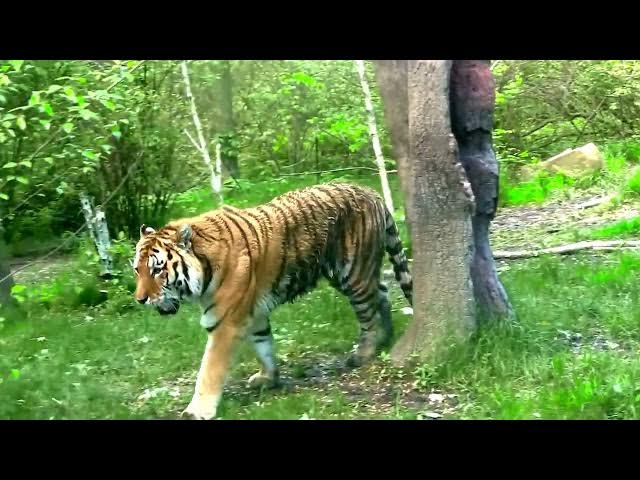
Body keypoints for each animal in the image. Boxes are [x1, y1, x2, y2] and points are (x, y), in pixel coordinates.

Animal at [132, 182, 412, 420]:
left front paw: (197, 411)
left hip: (353, 273)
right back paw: (386, 337)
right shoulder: (254, 313)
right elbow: (263, 345)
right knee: (383, 292)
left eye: (157, 269)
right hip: (352, 273)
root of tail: (370, 192)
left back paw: (364, 353)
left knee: (369, 313)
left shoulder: (224, 324)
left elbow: (209, 370)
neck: (204, 269)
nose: (140, 300)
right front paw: (268, 378)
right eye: (137, 270)